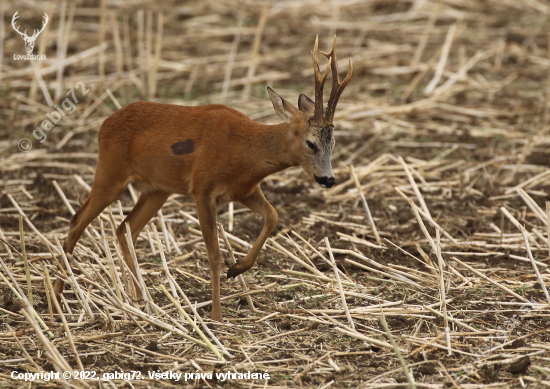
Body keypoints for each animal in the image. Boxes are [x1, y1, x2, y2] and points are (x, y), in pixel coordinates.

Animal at [55, 37, 354, 322]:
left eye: (333, 142)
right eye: (311, 143)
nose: (328, 179)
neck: (246, 150)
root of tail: (104, 124)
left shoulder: (243, 190)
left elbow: (273, 216)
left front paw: (237, 269)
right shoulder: (203, 189)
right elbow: (214, 255)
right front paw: (217, 315)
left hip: (156, 190)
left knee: (124, 228)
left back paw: (143, 301)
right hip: (111, 171)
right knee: (77, 221)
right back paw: (57, 296)